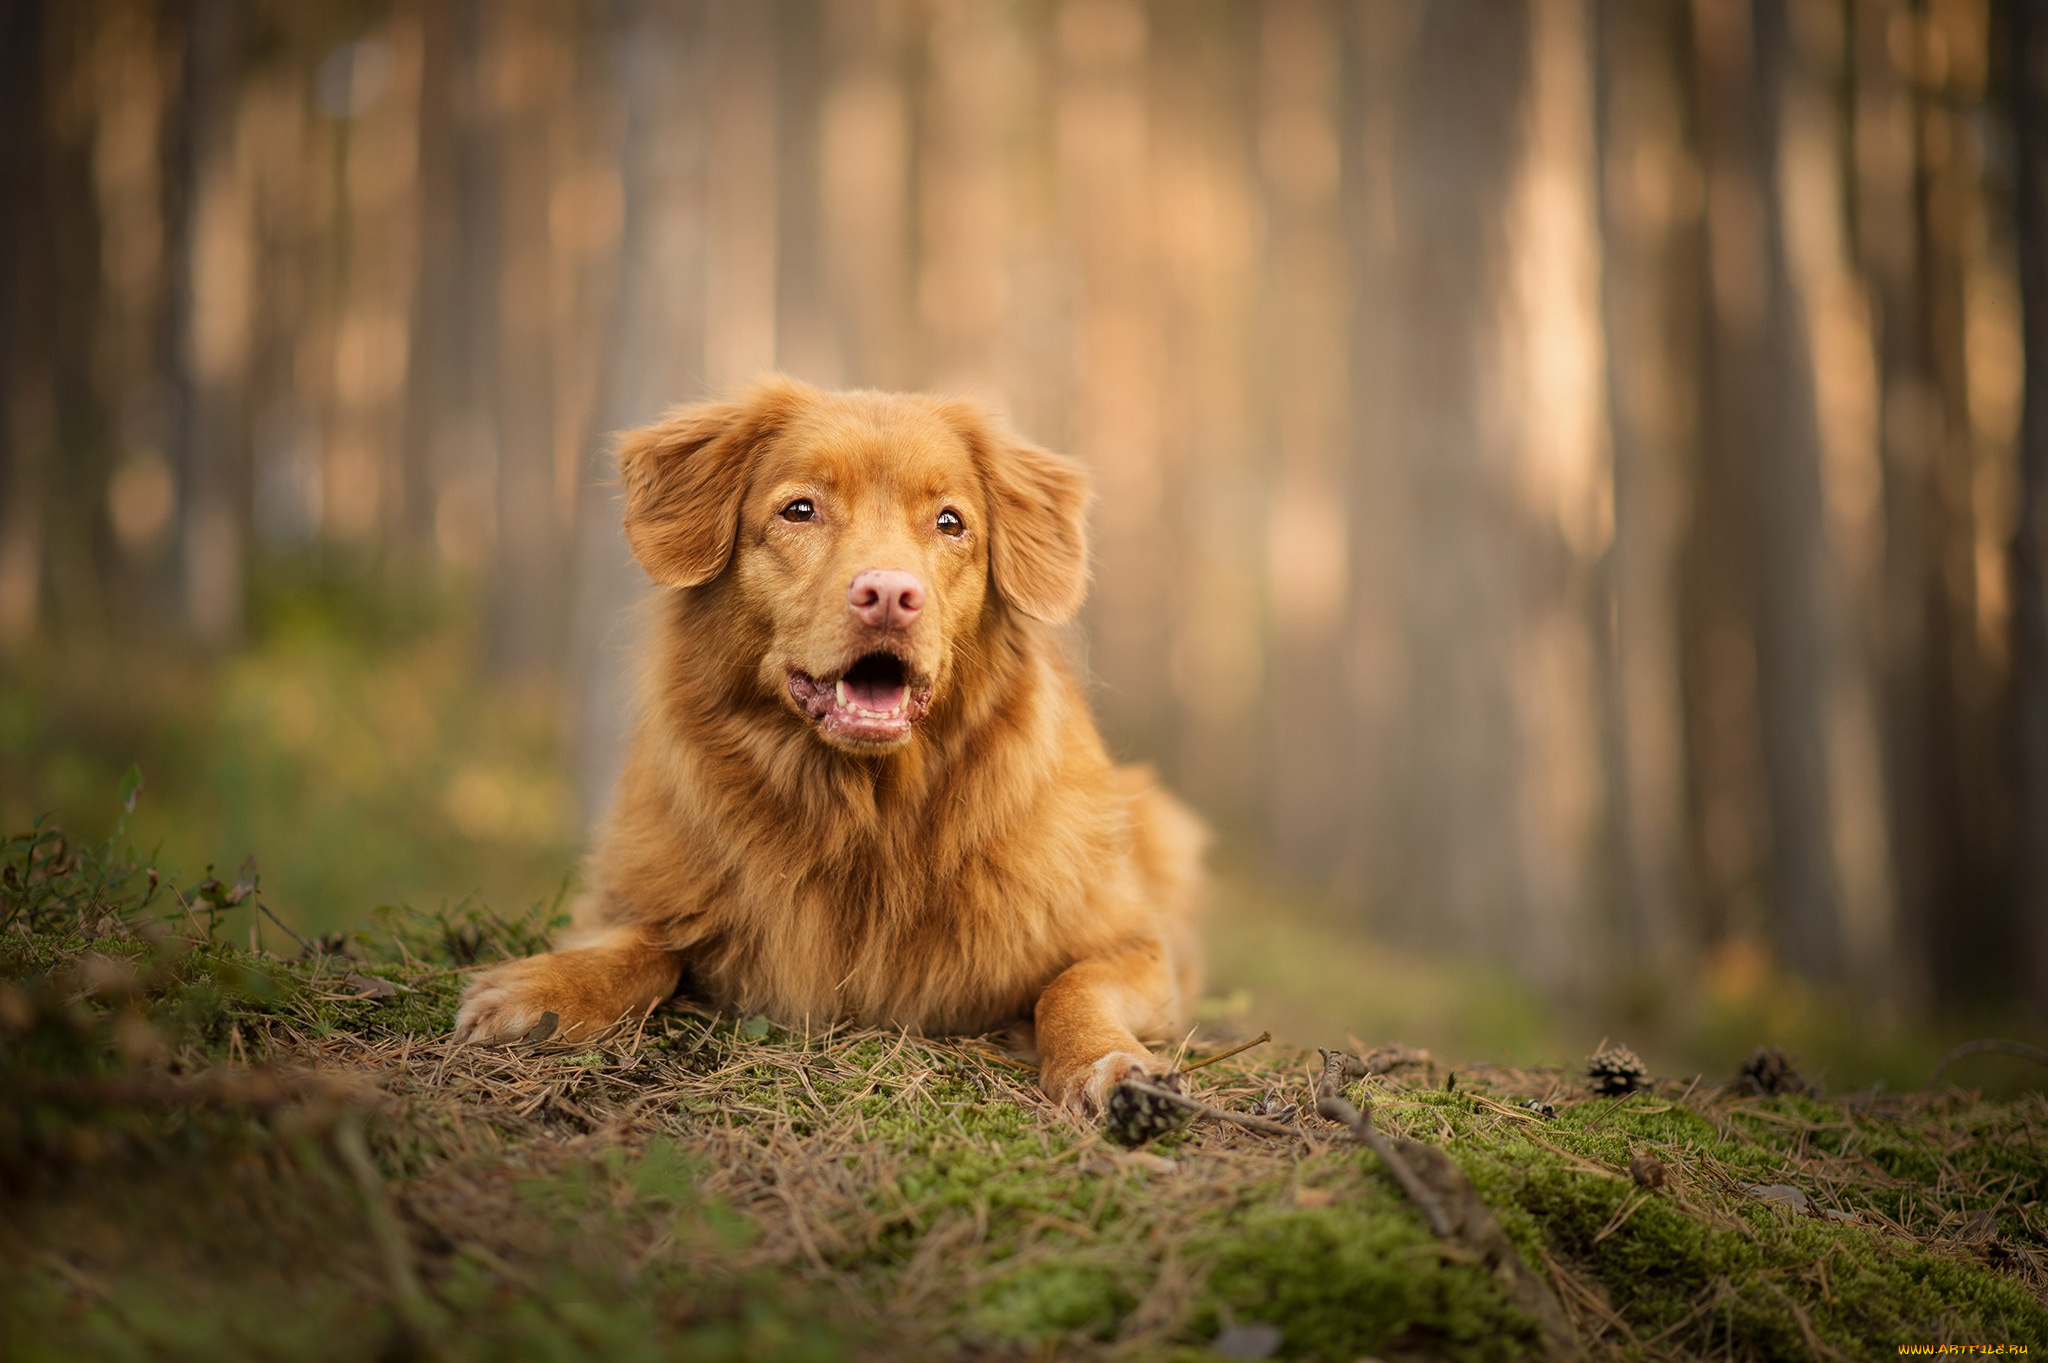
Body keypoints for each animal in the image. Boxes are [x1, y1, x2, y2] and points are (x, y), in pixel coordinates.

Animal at [452, 376, 1196, 1113]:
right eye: (800, 510)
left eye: (950, 522)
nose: (891, 594)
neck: (864, 809)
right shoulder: (648, 898)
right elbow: (639, 941)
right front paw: (546, 988)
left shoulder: (1138, 945)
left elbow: (1071, 986)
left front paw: (1110, 1062)